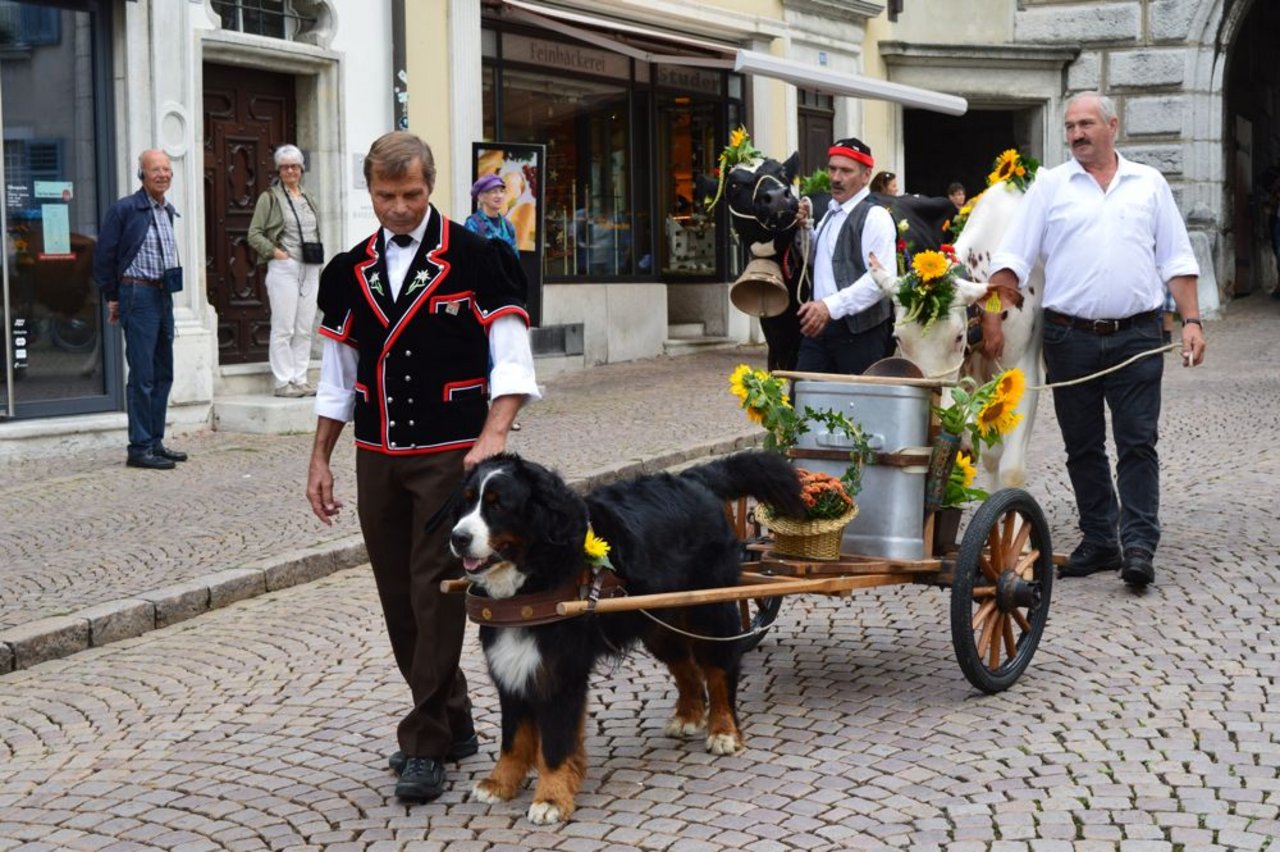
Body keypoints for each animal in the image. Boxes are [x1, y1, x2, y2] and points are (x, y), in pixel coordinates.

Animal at [450, 447, 798, 818]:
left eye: (499, 505)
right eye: (466, 502)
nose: (458, 537)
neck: (533, 575)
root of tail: (693, 479)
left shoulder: (561, 670)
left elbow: (556, 743)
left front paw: (551, 798)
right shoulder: (511, 660)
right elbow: (513, 737)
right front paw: (499, 784)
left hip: (710, 611)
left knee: (720, 671)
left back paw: (723, 731)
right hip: (657, 621)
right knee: (686, 668)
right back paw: (687, 716)